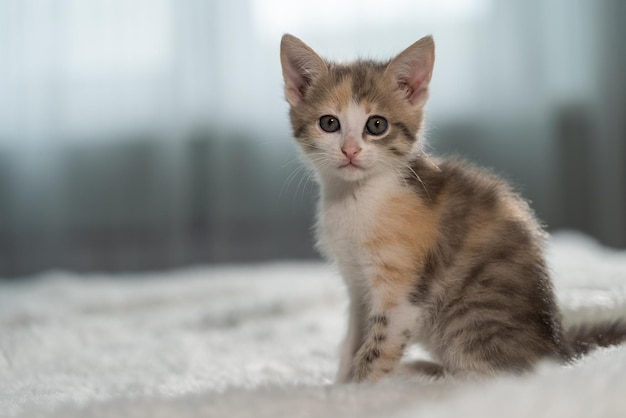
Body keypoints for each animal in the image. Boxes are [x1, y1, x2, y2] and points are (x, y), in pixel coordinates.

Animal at [280, 34, 624, 384]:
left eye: (376, 125)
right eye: (329, 123)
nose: (350, 151)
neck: (355, 197)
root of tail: (560, 350)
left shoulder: (402, 294)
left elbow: (376, 351)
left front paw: (359, 388)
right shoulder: (356, 283)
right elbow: (353, 340)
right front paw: (338, 384)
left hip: (472, 319)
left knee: (487, 375)